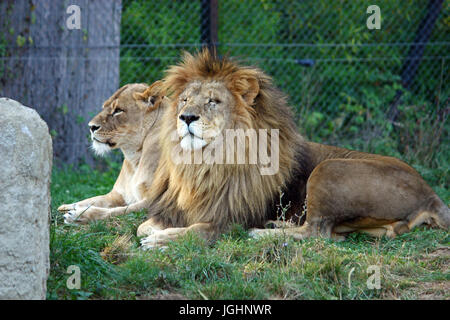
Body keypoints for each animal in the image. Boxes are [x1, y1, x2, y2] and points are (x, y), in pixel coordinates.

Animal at [57, 81, 168, 224]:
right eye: (104, 107)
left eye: (118, 110)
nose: (91, 127)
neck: (135, 157)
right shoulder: (117, 195)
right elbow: (93, 199)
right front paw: (67, 206)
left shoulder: (155, 201)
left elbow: (117, 211)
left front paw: (78, 215)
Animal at [139, 48, 448, 248]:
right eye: (184, 100)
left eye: (213, 101)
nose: (186, 117)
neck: (204, 163)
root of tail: (432, 194)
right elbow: (144, 225)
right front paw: (155, 232)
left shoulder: (231, 220)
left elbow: (196, 231)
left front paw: (161, 240)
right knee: (333, 233)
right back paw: (276, 226)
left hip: (328, 168)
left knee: (317, 232)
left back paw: (261, 234)